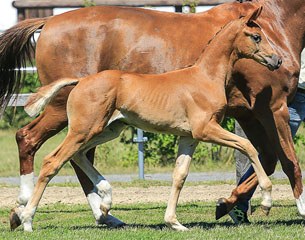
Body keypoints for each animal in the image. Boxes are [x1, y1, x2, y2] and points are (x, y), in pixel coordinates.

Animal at [13, 8, 278, 232]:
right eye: (256, 36)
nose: (277, 60)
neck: (205, 77)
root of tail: (80, 81)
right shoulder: (206, 130)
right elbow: (248, 146)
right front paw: (266, 201)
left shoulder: (189, 137)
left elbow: (179, 175)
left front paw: (174, 222)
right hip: (83, 129)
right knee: (53, 161)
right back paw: (27, 219)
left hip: (107, 129)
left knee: (78, 156)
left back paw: (106, 201)